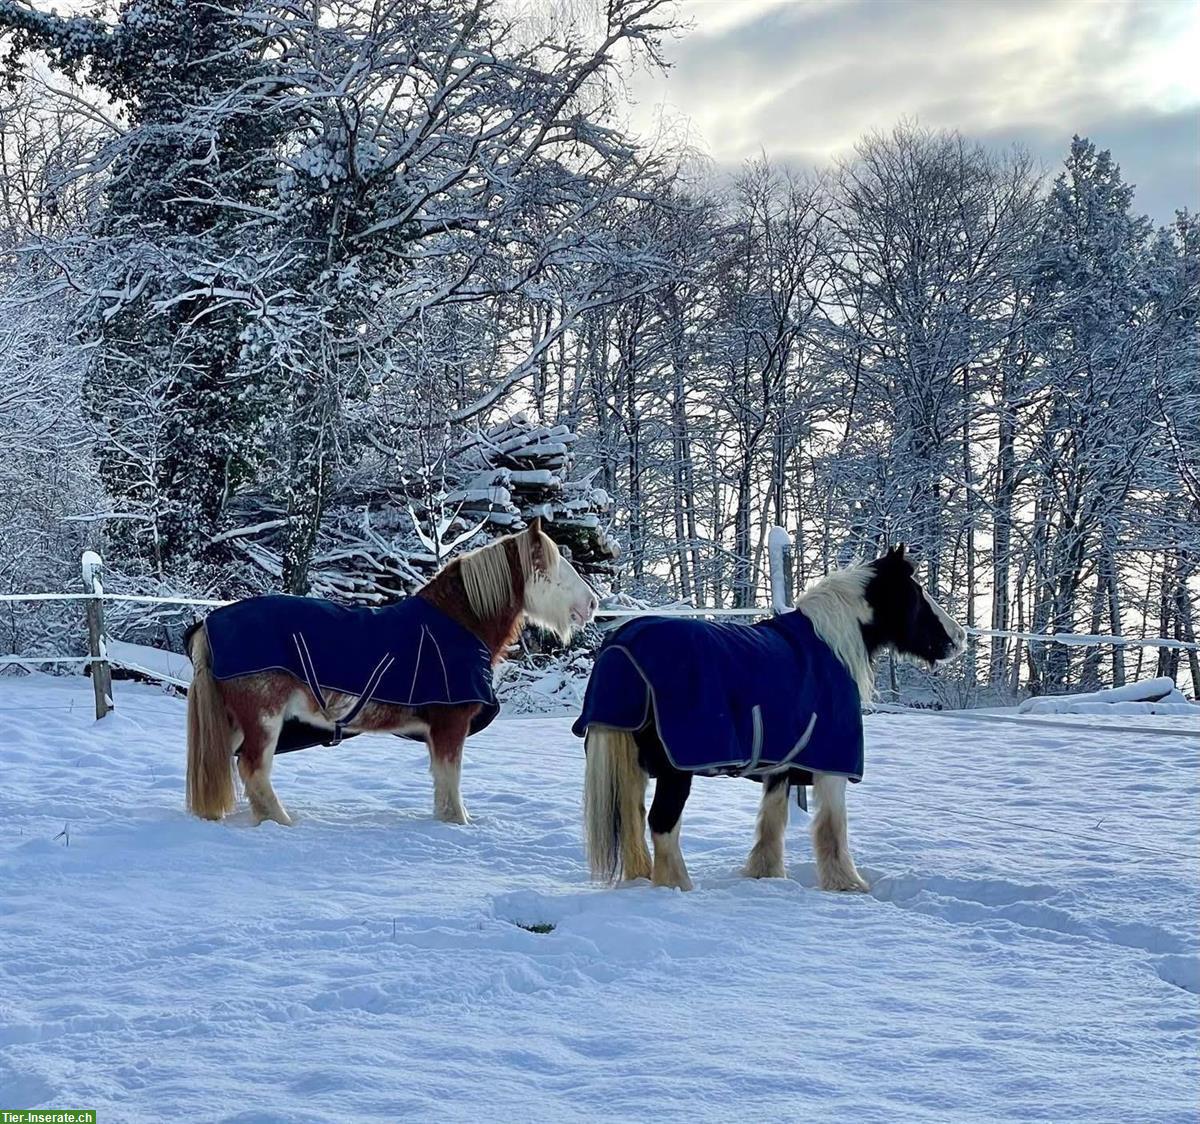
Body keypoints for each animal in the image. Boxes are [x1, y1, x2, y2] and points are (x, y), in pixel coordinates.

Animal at [184, 523, 592, 825]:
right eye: (557, 569)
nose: (591, 604)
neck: (458, 623)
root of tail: (210, 624)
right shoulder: (450, 724)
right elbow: (450, 779)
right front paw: (457, 823)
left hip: (235, 721)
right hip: (264, 719)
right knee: (253, 769)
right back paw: (282, 822)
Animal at [580, 549, 964, 892]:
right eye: (918, 593)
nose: (958, 638)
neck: (831, 647)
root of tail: (622, 647)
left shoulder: (781, 765)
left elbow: (773, 819)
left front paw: (766, 874)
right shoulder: (832, 766)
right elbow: (832, 827)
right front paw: (847, 884)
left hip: (636, 765)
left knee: (632, 817)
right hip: (676, 771)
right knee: (661, 823)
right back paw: (677, 887)